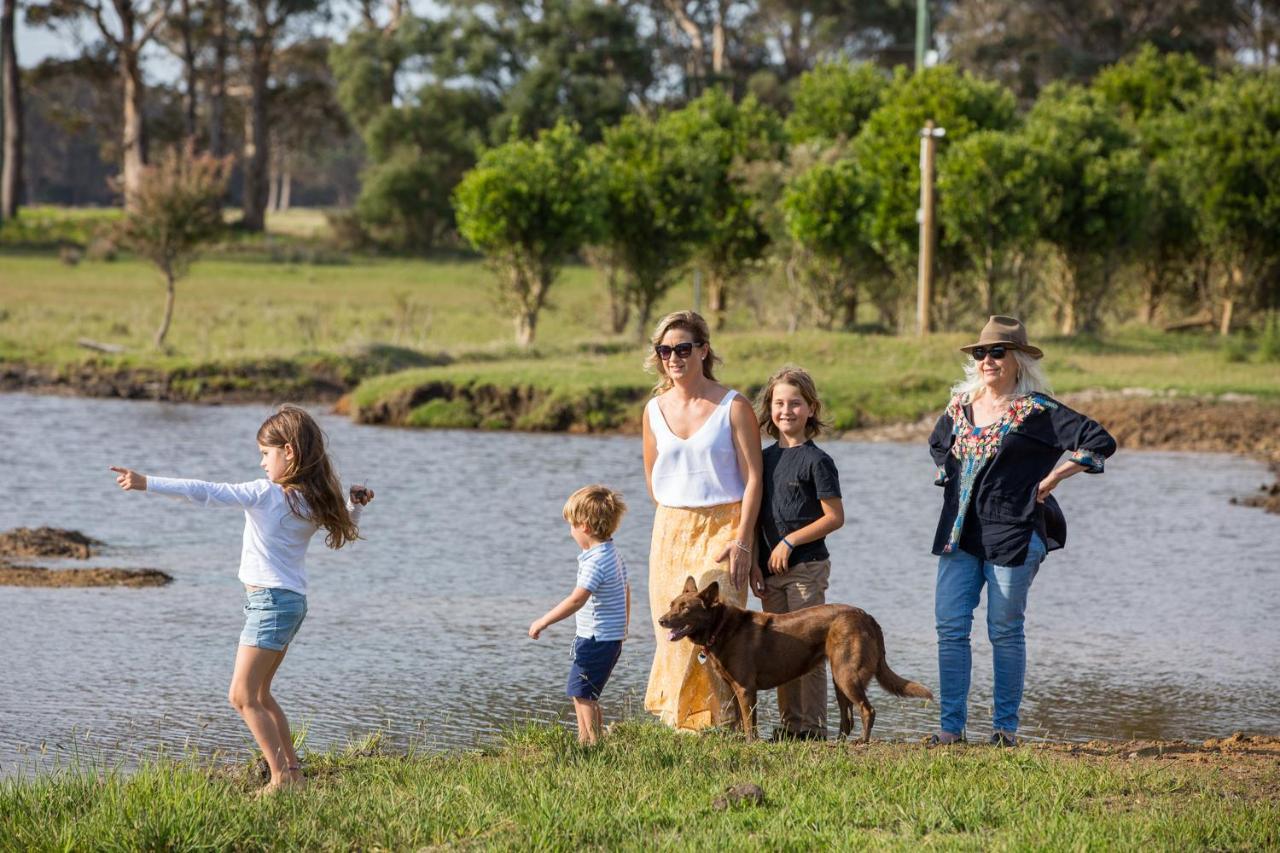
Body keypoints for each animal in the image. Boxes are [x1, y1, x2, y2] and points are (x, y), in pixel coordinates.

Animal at [660, 573, 931, 742]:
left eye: (685, 608)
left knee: (867, 710)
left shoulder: (746, 689)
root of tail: (867, 617)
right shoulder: (735, 689)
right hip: (839, 679)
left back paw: (862, 741)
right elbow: (741, 720)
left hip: (847, 676)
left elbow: (749, 723)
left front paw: (750, 743)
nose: (662, 620)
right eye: (672, 604)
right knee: (847, 718)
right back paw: (840, 743)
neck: (721, 627)